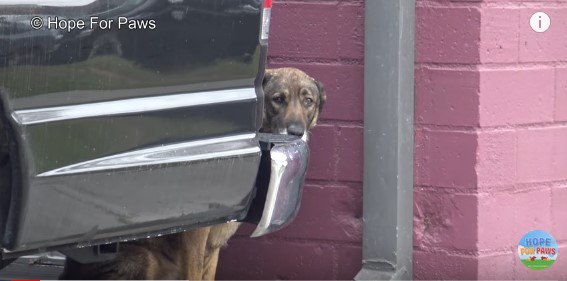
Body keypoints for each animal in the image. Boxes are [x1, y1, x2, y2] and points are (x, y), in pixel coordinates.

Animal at [60, 67, 326, 278]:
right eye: (278, 99)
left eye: (308, 101)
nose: (296, 132)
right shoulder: (195, 237)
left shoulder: (213, 246)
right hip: (145, 259)